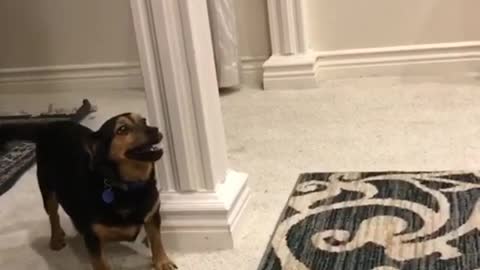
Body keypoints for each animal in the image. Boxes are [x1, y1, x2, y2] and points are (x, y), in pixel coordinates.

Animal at [0, 112, 176, 270]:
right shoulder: (93, 238)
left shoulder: (153, 215)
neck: (128, 186)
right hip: (47, 188)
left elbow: (157, 240)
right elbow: (101, 264)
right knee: (53, 215)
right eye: (122, 129)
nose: (155, 129)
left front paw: (162, 262)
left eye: (144, 120)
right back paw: (56, 238)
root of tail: (48, 126)